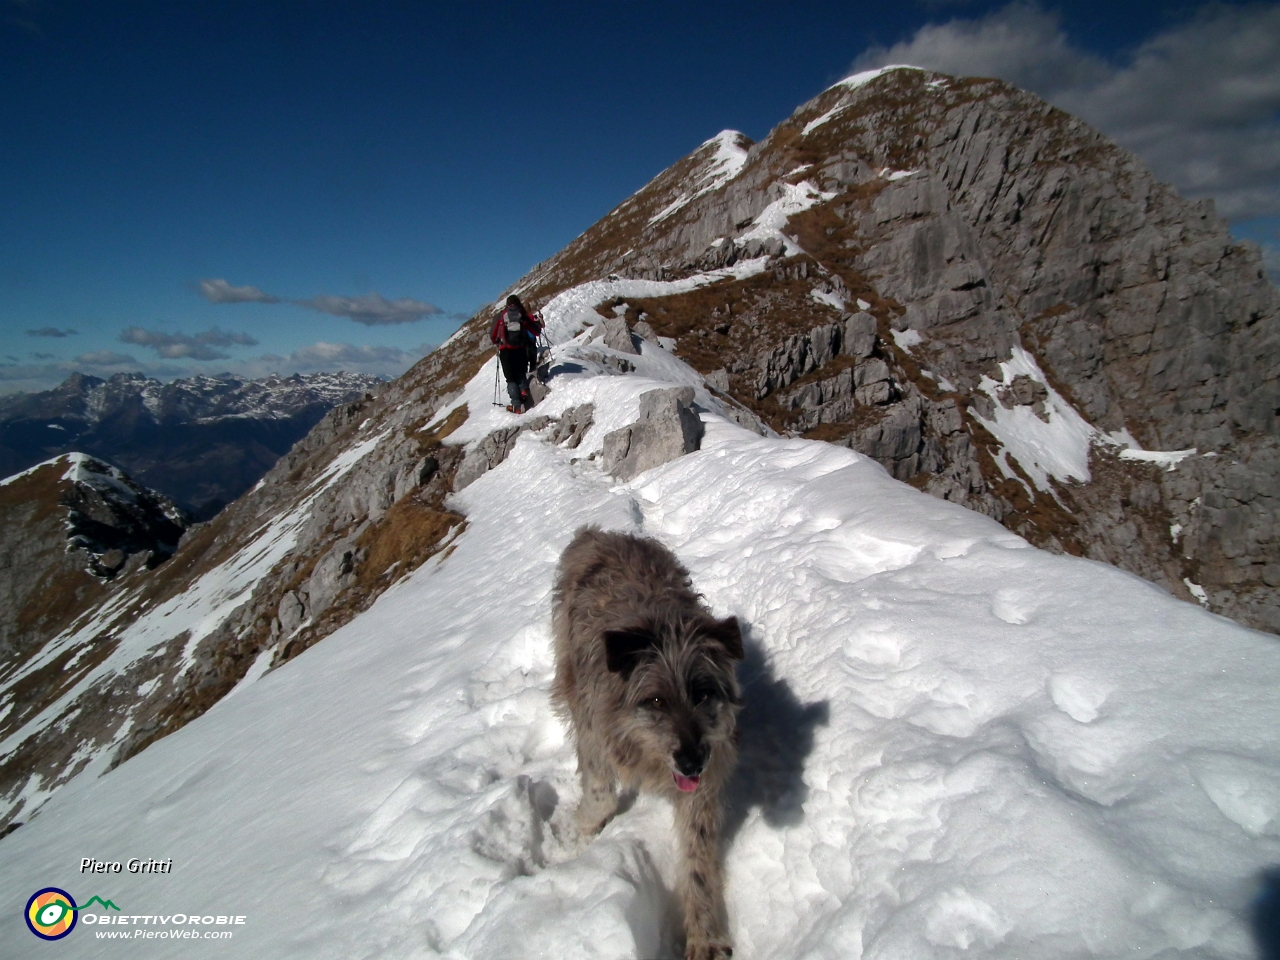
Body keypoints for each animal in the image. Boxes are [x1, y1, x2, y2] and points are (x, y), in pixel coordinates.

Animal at [547, 527, 742, 960]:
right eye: (655, 701)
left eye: (703, 693)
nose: (691, 762)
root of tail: (601, 533)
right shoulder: (593, 731)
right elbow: (600, 794)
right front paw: (585, 829)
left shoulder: (701, 783)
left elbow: (698, 859)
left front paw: (704, 934)